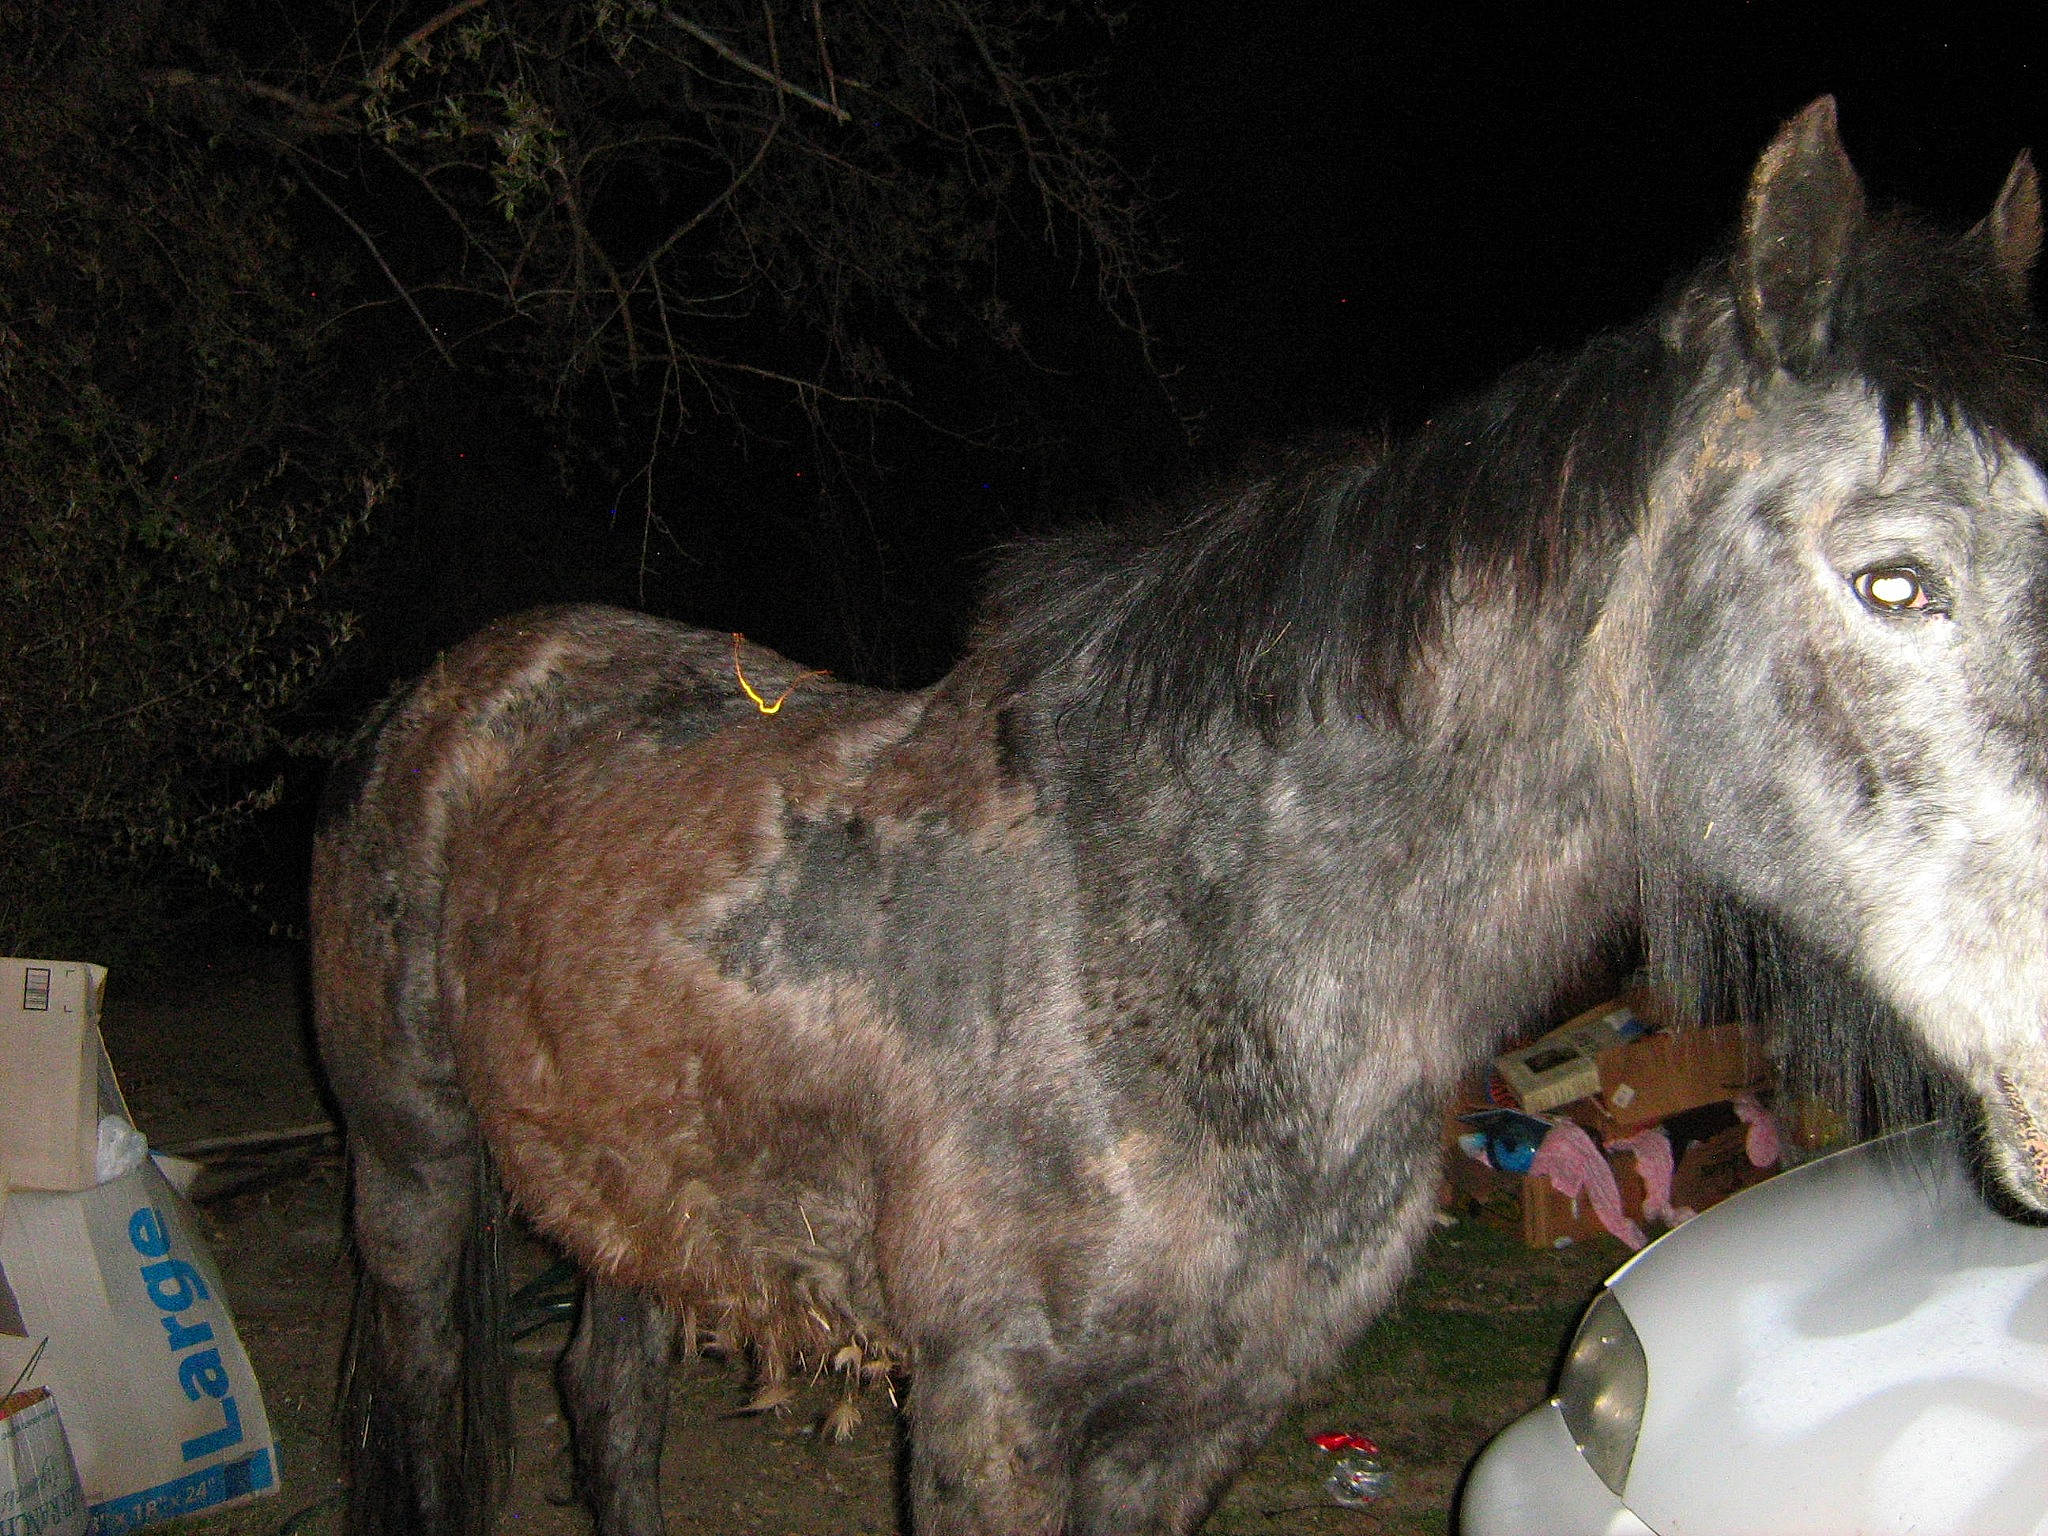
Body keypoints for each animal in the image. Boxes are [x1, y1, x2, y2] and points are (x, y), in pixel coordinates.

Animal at [312, 98, 2048, 1535]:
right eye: (1895, 579)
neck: (1191, 939)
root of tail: (447, 697)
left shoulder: (1198, 1424)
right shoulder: (989, 1419)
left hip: (638, 1209)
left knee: (607, 1404)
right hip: (411, 1173)